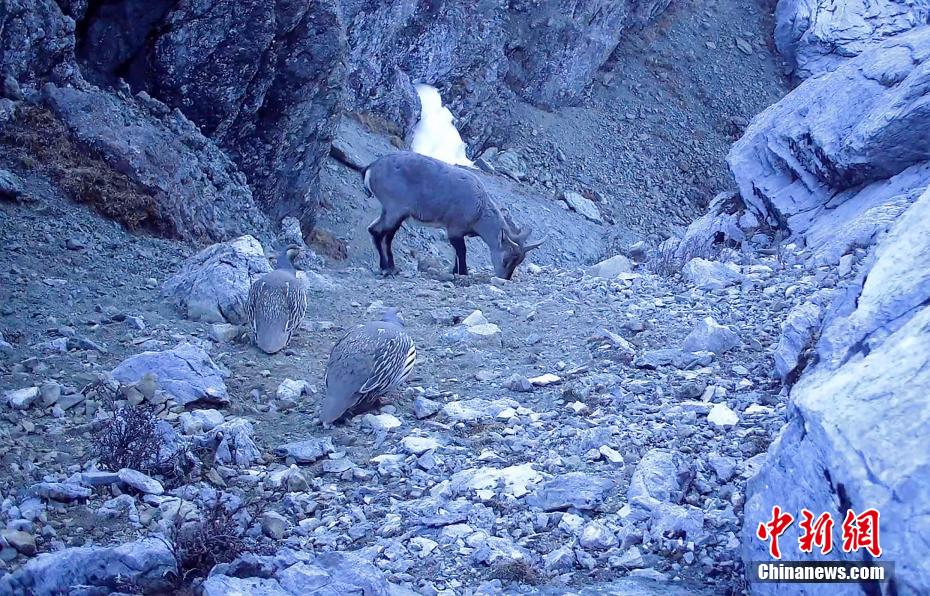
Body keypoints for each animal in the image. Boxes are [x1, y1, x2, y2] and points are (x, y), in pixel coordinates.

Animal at [360, 151, 540, 278]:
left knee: (377, 231)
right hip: (395, 210)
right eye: (506, 259)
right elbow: (461, 251)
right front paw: (463, 273)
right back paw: (386, 268)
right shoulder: (455, 229)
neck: (480, 210)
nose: (504, 278)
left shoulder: (456, 231)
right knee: (379, 232)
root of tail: (370, 168)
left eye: (519, 261)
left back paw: (389, 267)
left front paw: (455, 271)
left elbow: (456, 252)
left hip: (391, 212)